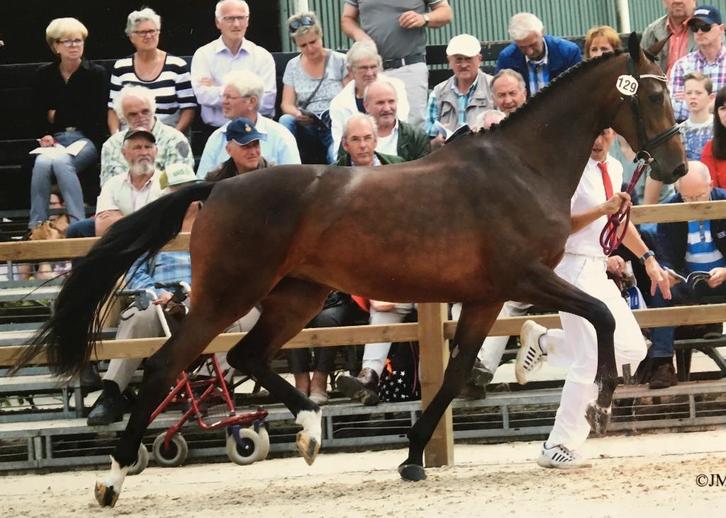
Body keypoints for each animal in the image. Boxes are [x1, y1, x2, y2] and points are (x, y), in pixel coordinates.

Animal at [14, 34, 685, 507]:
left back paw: (310, 431)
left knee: (246, 357)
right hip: (226, 296)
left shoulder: (486, 298)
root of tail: (218, 187)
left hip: (298, 296)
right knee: (166, 368)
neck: (521, 166)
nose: (677, 167)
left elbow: (456, 373)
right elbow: (600, 315)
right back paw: (112, 479)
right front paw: (601, 403)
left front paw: (412, 456)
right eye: (653, 95)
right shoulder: (525, 279)